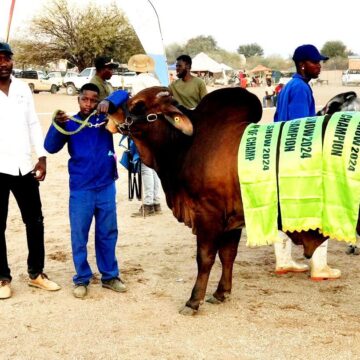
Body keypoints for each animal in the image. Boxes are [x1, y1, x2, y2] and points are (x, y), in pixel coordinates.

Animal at [107, 86, 332, 314]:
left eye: (137, 105)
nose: (108, 108)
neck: (185, 145)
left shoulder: (208, 215)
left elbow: (205, 258)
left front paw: (193, 300)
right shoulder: (234, 219)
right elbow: (228, 255)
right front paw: (221, 293)